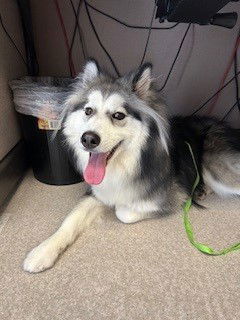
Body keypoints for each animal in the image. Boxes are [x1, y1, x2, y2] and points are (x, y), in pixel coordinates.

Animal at [23, 59, 240, 272]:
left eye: (118, 115)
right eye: (88, 111)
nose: (88, 139)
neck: (124, 164)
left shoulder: (175, 196)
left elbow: (123, 212)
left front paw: (121, 204)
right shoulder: (96, 192)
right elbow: (70, 220)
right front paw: (42, 251)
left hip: (216, 170)